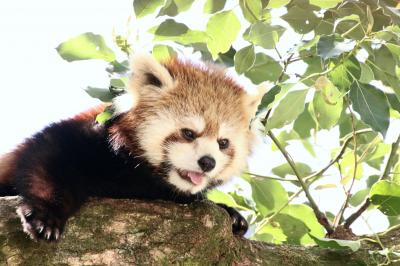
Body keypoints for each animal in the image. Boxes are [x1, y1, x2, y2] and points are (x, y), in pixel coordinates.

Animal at [0, 55, 266, 242]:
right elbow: (46, 157)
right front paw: (45, 214)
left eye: (223, 143)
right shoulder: (88, 138)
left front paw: (232, 215)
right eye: (189, 133)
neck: (140, 176)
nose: (207, 162)